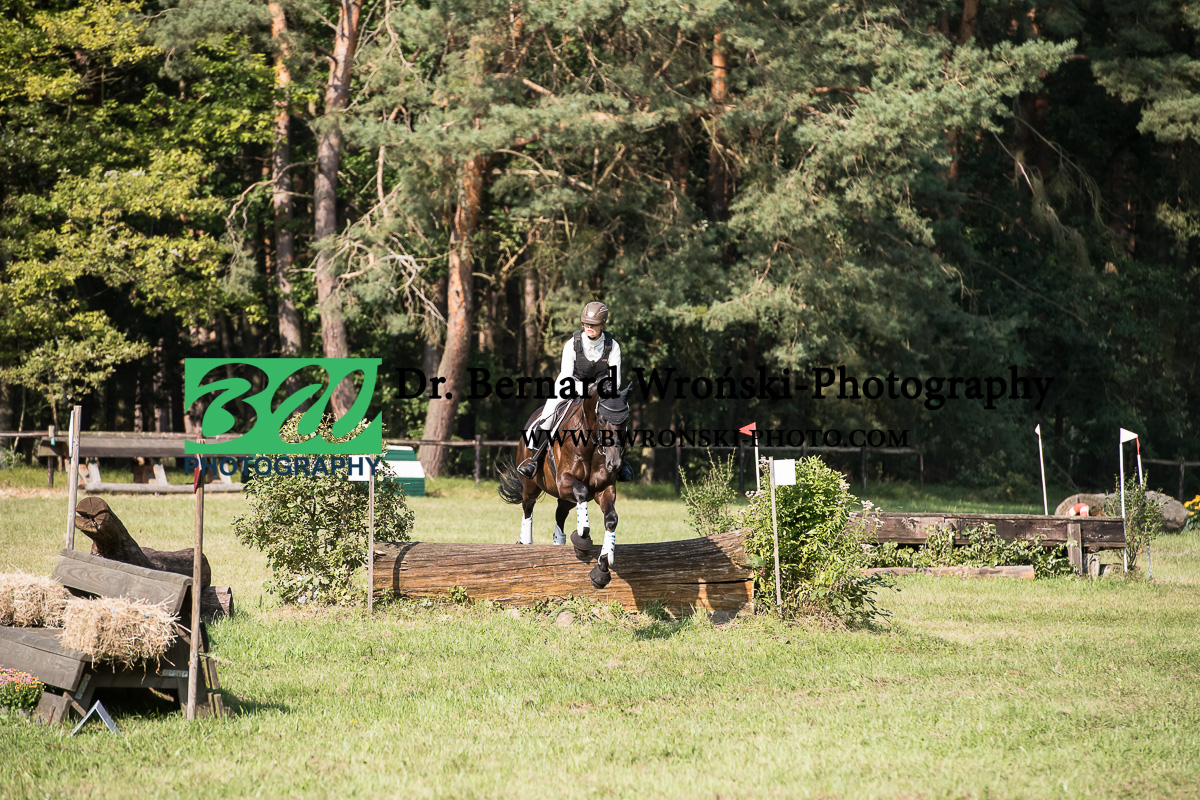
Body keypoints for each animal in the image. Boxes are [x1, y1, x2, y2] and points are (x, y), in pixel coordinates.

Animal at [497, 390, 630, 589]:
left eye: (625, 421)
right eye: (601, 419)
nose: (614, 463)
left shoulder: (604, 489)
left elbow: (611, 519)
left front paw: (603, 567)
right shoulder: (563, 481)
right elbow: (582, 491)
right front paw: (582, 538)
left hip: (566, 499)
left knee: (560, 514)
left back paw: (558, 543)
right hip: (531, 486)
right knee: (528, 508)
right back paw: (525, 542)